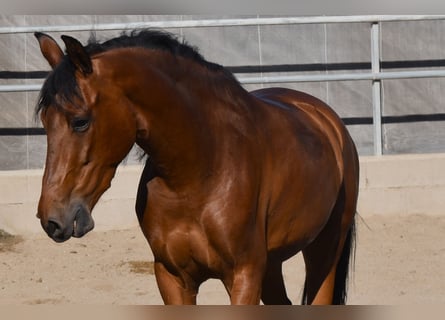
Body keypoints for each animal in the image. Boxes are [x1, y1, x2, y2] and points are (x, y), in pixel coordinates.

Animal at [35, 30, 360, 304]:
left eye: (80, 121)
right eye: (45, 122)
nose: (51, 219)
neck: (200, 172)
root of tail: (326, 119)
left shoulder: (243, 276)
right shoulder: (172, 277)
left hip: (325, 250)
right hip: (274, 262)